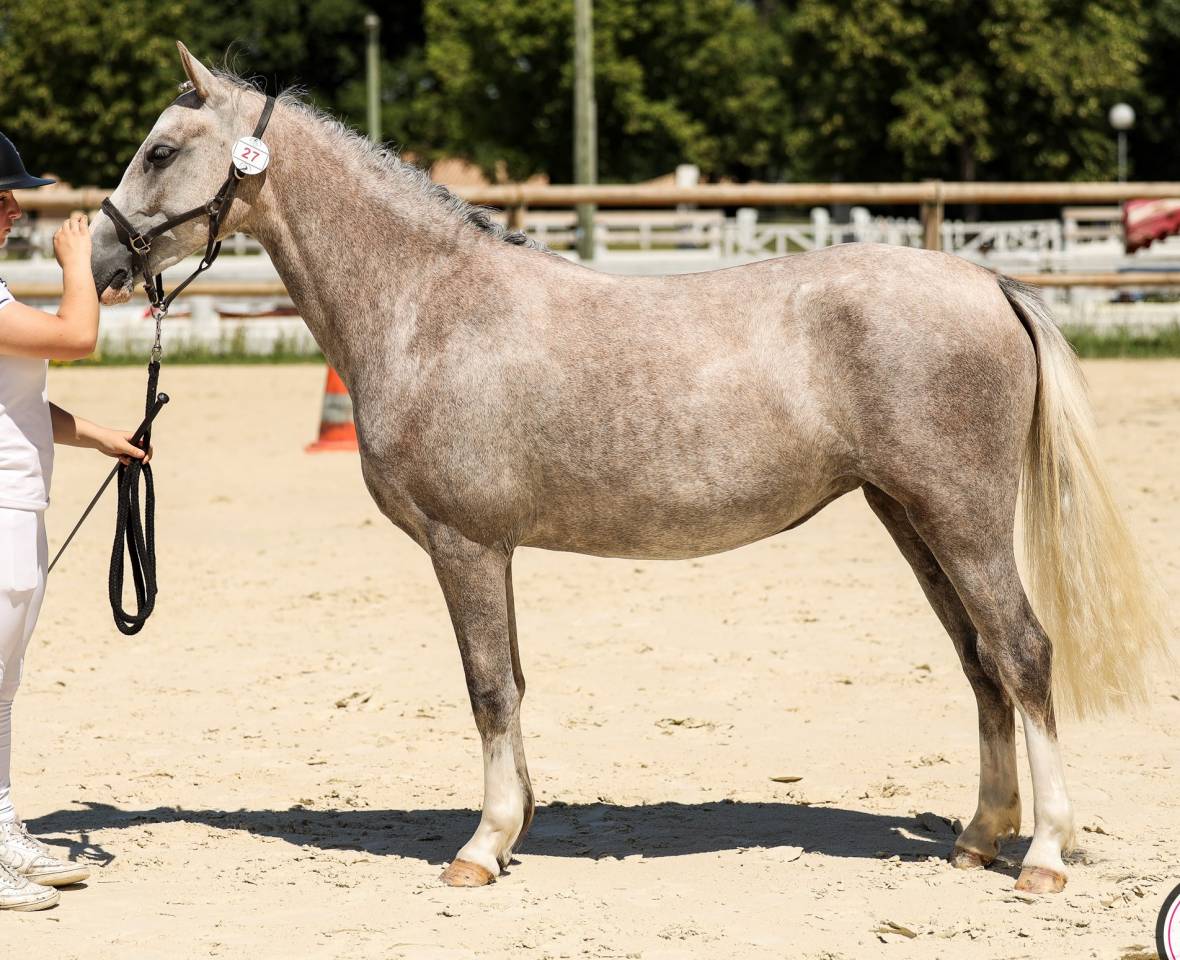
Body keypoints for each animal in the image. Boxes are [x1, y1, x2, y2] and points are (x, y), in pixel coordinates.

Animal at [89, 43, 1168, 894]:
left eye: (160, 150)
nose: (101, 255)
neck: (429, 304)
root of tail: (986, 280)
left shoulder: (464, 544)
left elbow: (489, 688)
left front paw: (479, 849)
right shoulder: (492, 551)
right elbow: (512, 684)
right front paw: (512, 830)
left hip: (961, 517)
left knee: (1023, 653)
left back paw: (1043, 858)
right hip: (911, 518)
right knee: (982, 663)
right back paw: (978, 839)